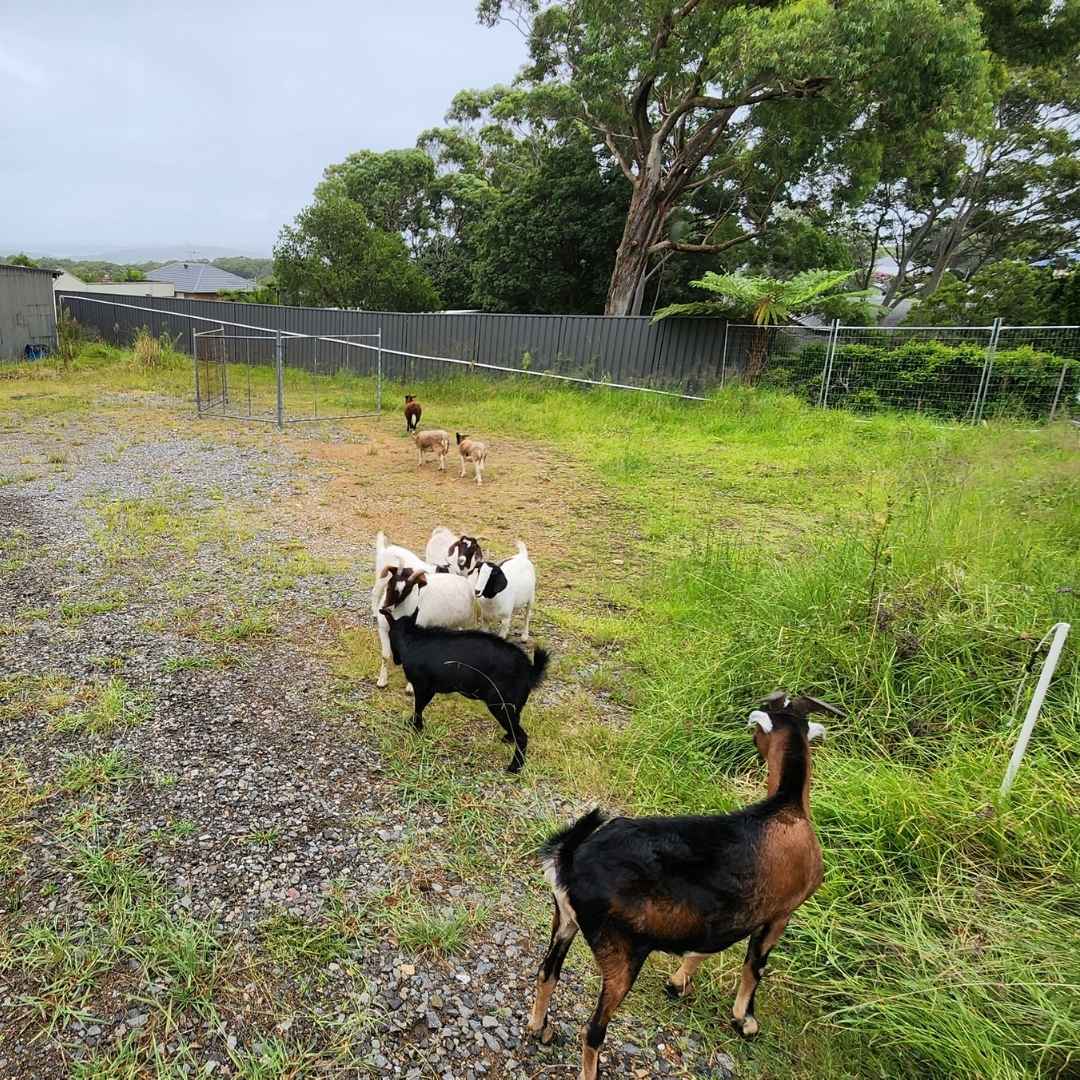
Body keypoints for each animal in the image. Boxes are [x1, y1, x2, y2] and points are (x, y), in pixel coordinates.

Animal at [379, 607, 549, 772]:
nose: (396, 660)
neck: (412, 639)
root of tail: (529, 670)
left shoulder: (423, 688)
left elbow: (418, 708)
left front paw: (416, 726)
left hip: (501, 706)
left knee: (522, 736)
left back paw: (515, 766)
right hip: (513, 706)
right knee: (516, 726)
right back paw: (508, 739)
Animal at [526, 691, 841, 1079]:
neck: (788, 805)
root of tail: (570, 861)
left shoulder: (719, 915)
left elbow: (705, 946)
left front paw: (678, 984)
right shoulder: (782, 912)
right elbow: (754, 965)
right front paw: (745, 1021)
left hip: (565, 920)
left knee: (547, 973)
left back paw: (539, 1029)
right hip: (622, 951)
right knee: (594, 1029)